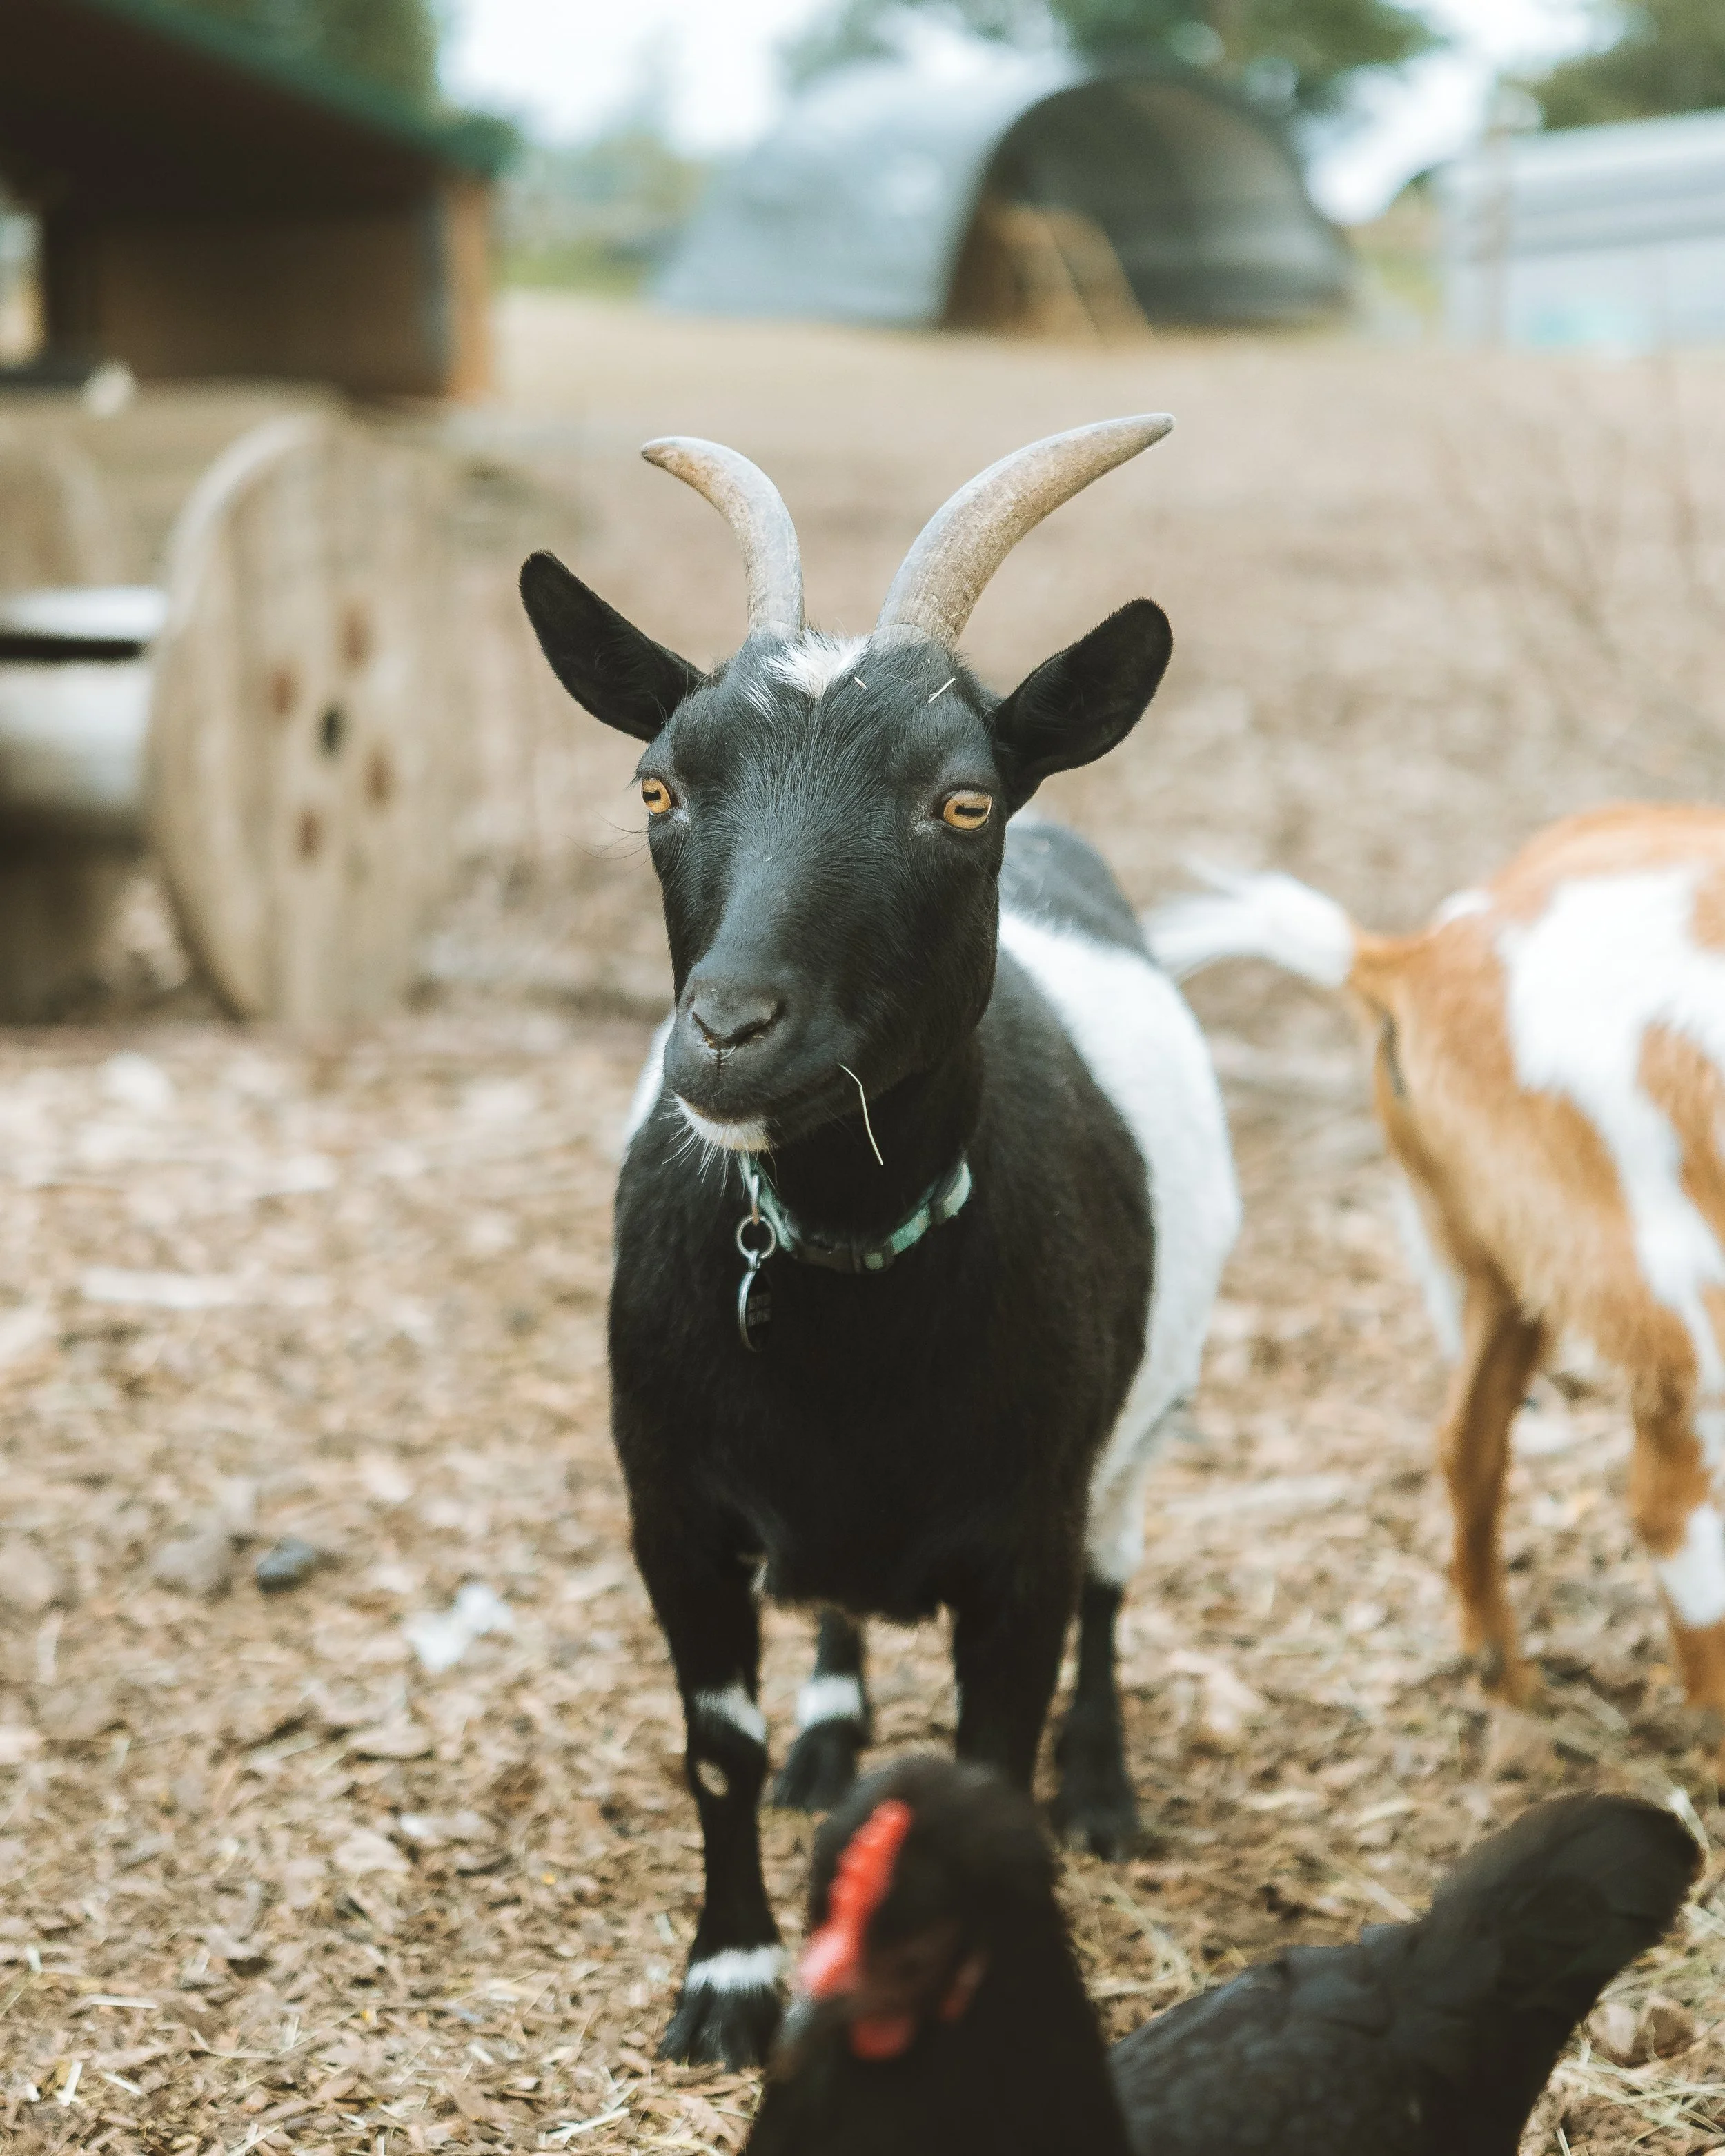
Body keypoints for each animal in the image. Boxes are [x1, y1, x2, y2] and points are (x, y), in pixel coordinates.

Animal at [519, 418, 1239, 2067]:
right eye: (658, 788)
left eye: (961, 801)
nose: (726, 1032)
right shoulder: (671, 1508)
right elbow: (713, 1744)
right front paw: (728, 1981)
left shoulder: (1023, 1538)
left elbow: (998, 1757)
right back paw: (829, 1734)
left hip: (1148, 1418)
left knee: (1118, 1579)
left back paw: (1106, 1787)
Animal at [1147, 805, 1725, 1758]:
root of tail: (1418, 956)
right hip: (1671, 1276)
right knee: (1666, 1505)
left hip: (1505, 1265)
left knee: (1468, 1442)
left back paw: (1501, 1674)